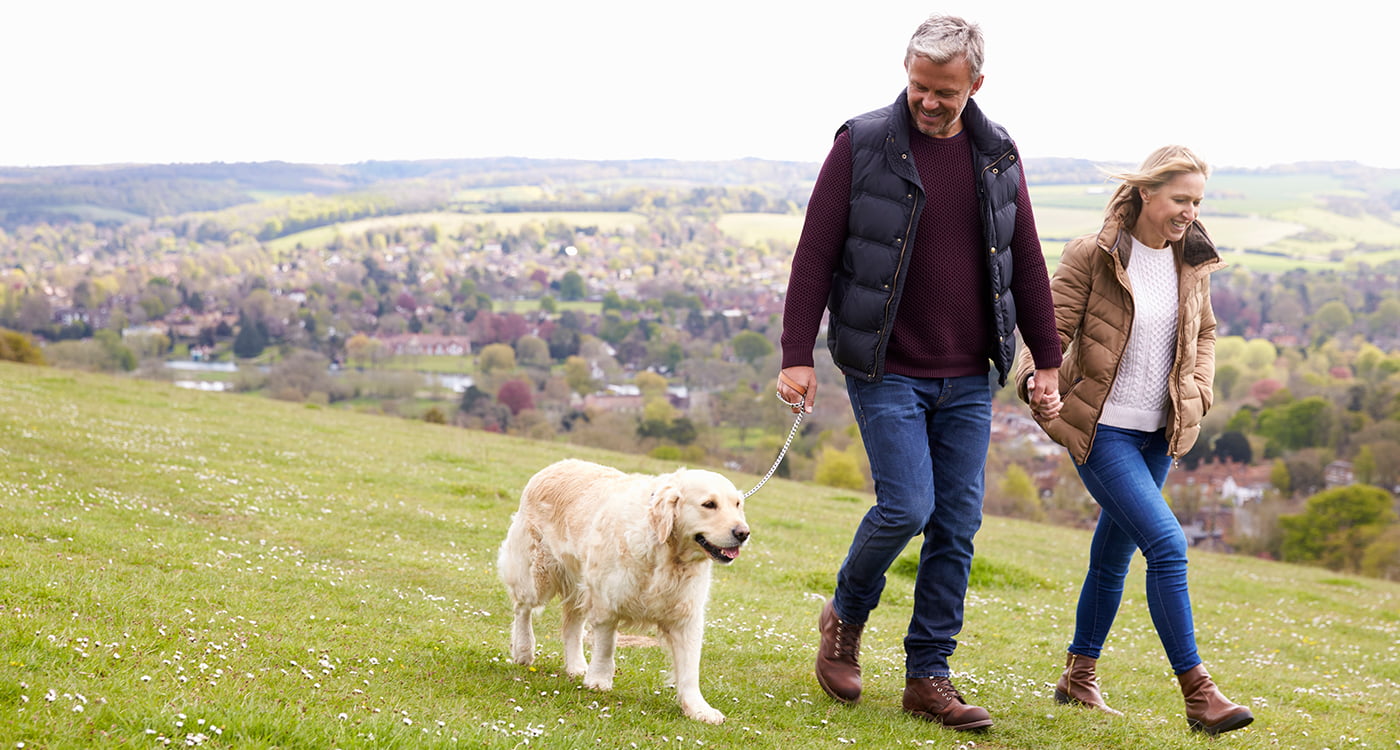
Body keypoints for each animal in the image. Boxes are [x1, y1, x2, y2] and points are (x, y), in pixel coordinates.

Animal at [498, 456, 750, 722]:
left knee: (571, 625)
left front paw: (699, 708)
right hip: (537, 573)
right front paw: (599, 680)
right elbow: (606, 645)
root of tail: (556, 465)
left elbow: (690, 668)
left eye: (737, 504)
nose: (743, 533)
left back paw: (576, 666)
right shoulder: (606, 602)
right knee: (523, 608)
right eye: (709, 504)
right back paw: (524, 650)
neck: (666, 554)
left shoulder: (686, 616)